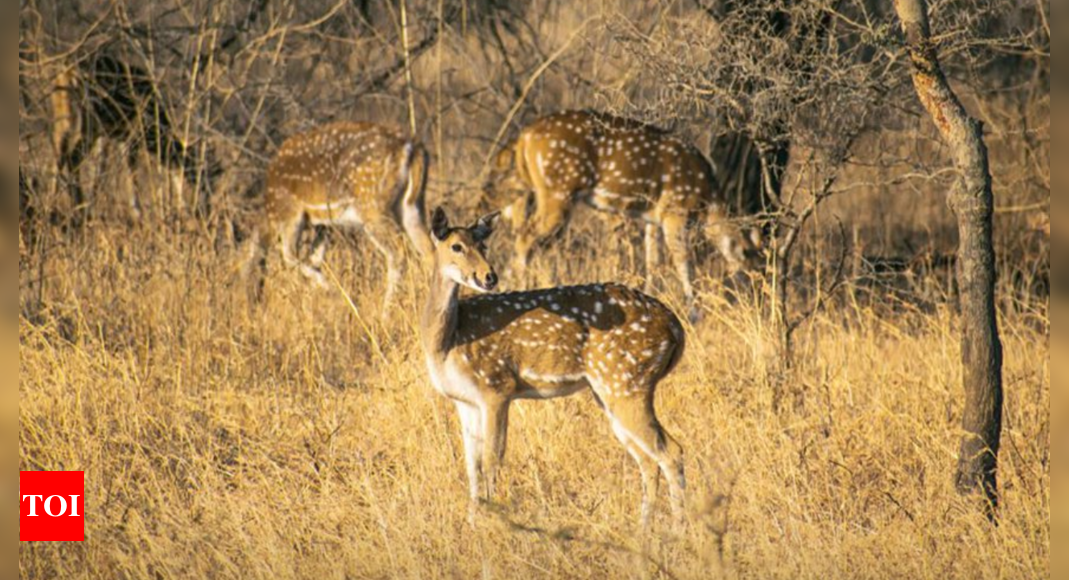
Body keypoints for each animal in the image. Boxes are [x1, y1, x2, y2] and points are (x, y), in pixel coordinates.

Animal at [245, 122, 434, 314]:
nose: (253, 307)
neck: (270, 211)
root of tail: (412, 147)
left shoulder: (291, 213)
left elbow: (289, 256)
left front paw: (334, 292)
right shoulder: (322, 224)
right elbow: (314, 258)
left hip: (372, 205)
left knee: (399, 253)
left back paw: (385, 313)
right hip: (412, 205)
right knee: (429, 249)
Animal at [421, 206, 688, 523]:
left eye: (482, 245)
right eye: (456, 246)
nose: (489, 276)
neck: (448, 342)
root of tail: (676, 329)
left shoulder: (496, 386)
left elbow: (491, 460)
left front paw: (490, 521)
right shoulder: (465, 400)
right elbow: (472, 466)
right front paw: (473, 523)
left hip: (627, 382)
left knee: (671, 451)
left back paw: (678, 528)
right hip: (611, 392)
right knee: (648, 458)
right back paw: (645, 528)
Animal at [489, 111, 765, 316]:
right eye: (752, 269)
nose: (756, 302)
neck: (707, 198)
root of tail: (524, 138)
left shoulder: (652, 218)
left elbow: (653, 262)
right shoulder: (675, 210)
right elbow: (683, 262)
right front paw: (694, 312)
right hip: (558, 190)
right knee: (526, 238)